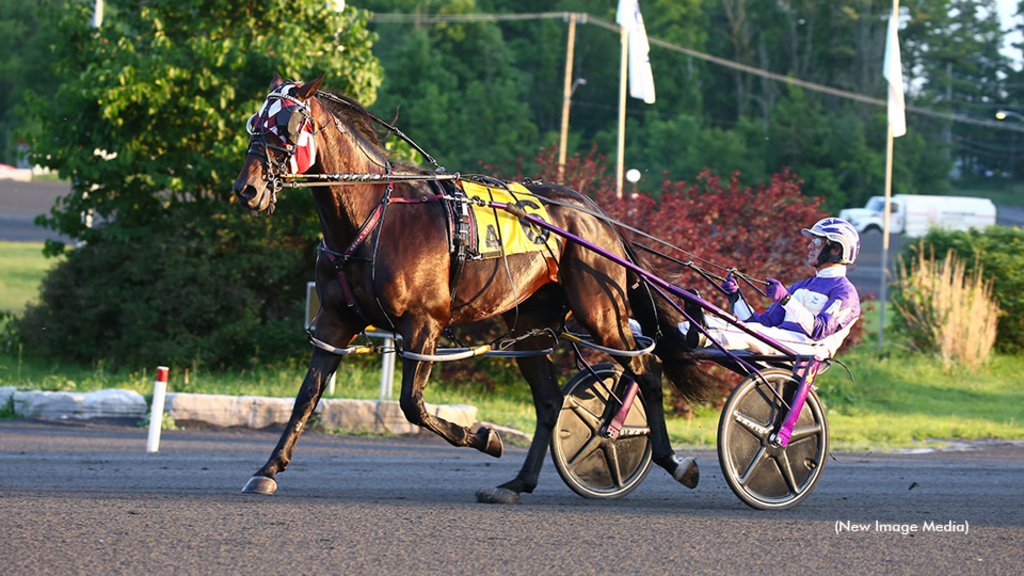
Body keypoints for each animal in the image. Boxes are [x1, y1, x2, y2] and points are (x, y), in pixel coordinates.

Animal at [232, 72, 712, 502]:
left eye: (287, 125)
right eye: (254, 123)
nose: (246, 189)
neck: (374, 217)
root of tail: (596, 213)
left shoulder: (423, 324)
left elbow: (412, 405)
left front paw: (487, 438)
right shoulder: (335, 321)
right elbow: (305, 397)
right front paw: (267, 469)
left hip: (600, 309)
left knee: (645, 368)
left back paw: (672, 460)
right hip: (533, 325)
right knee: (551, 401)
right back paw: (517, 484)